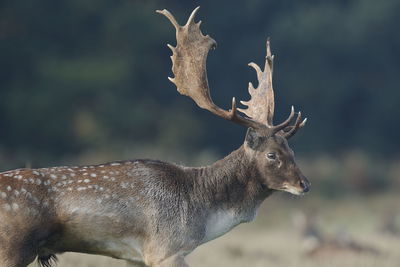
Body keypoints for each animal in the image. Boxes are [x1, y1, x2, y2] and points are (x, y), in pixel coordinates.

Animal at [0, 6, 310, 267]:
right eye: (272, 154)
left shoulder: (135, 257)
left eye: (292, 151)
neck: (203, 213)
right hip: (14, 247)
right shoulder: (166, 248)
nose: (304, 184)